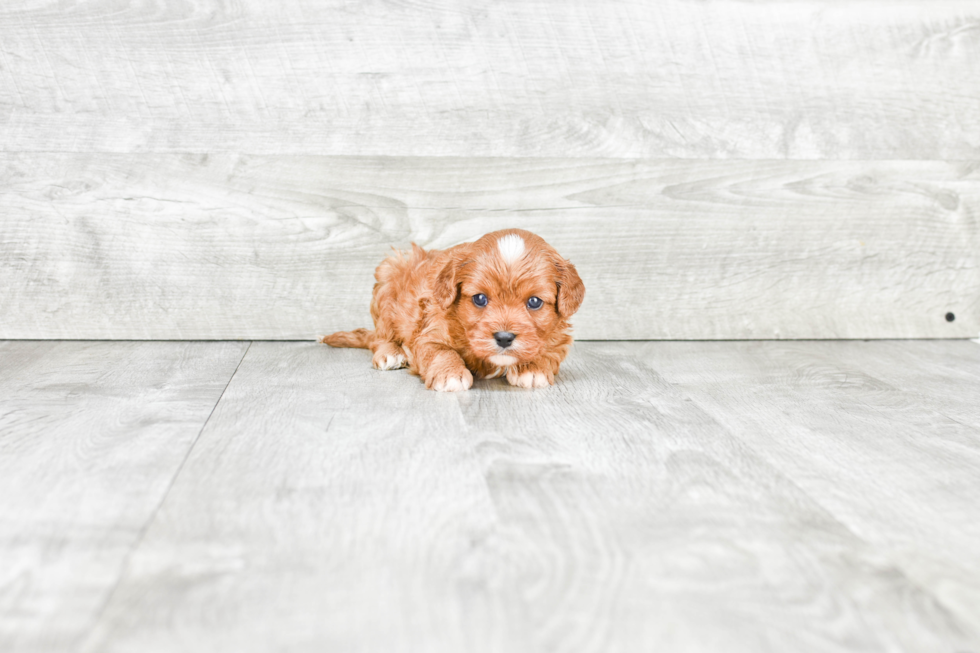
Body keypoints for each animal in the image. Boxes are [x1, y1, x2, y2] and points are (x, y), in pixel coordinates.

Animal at [320, 229, 580, 392]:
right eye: (480, 299)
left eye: (534, 302)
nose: (504, 338)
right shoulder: (428, 333)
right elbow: (441, 351)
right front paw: (450, 375)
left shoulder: (559, 339)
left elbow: (548, 350)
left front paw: (531, 368)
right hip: (388, 277)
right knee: (380, 337)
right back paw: (390, 354)